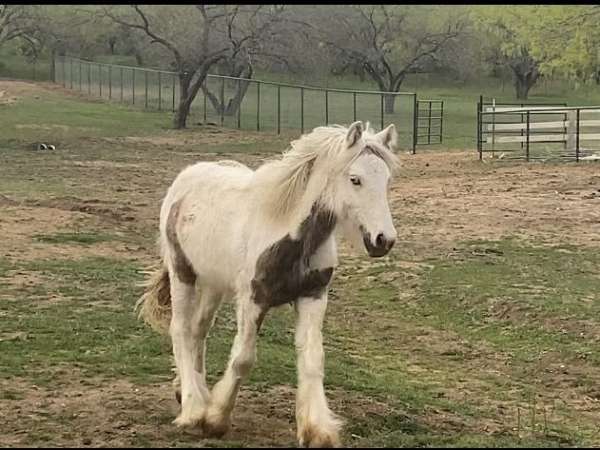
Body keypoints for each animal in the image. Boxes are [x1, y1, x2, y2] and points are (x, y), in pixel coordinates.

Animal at [136, 120, 398, 446]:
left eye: (386, 180)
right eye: (355, 179)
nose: (384, 240)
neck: (288, 231)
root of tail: (188, 176)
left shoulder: (313, 295)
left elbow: (313, 359)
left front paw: (318, 430)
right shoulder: (253, 299)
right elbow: (243, 358)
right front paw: (215, 419)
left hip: (213, 284)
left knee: (198, 330)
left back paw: (187, 391)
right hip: (182, 271)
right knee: (181, 329)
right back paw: (194, 407)